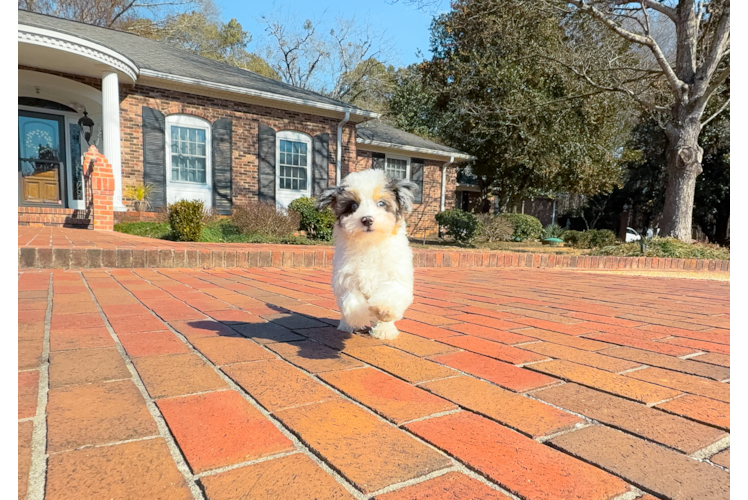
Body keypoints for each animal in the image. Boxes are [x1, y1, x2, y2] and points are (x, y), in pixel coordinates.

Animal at [316, 169, 418, 340]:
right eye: (353, 205)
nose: (367, 219)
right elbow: (351, 300)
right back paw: (346, 325)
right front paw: (357, 317)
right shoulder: (346, 278)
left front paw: (383, 310)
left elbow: (391, 293)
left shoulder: (396, 275)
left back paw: (384, 330)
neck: (370, 243)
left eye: (381, 203)